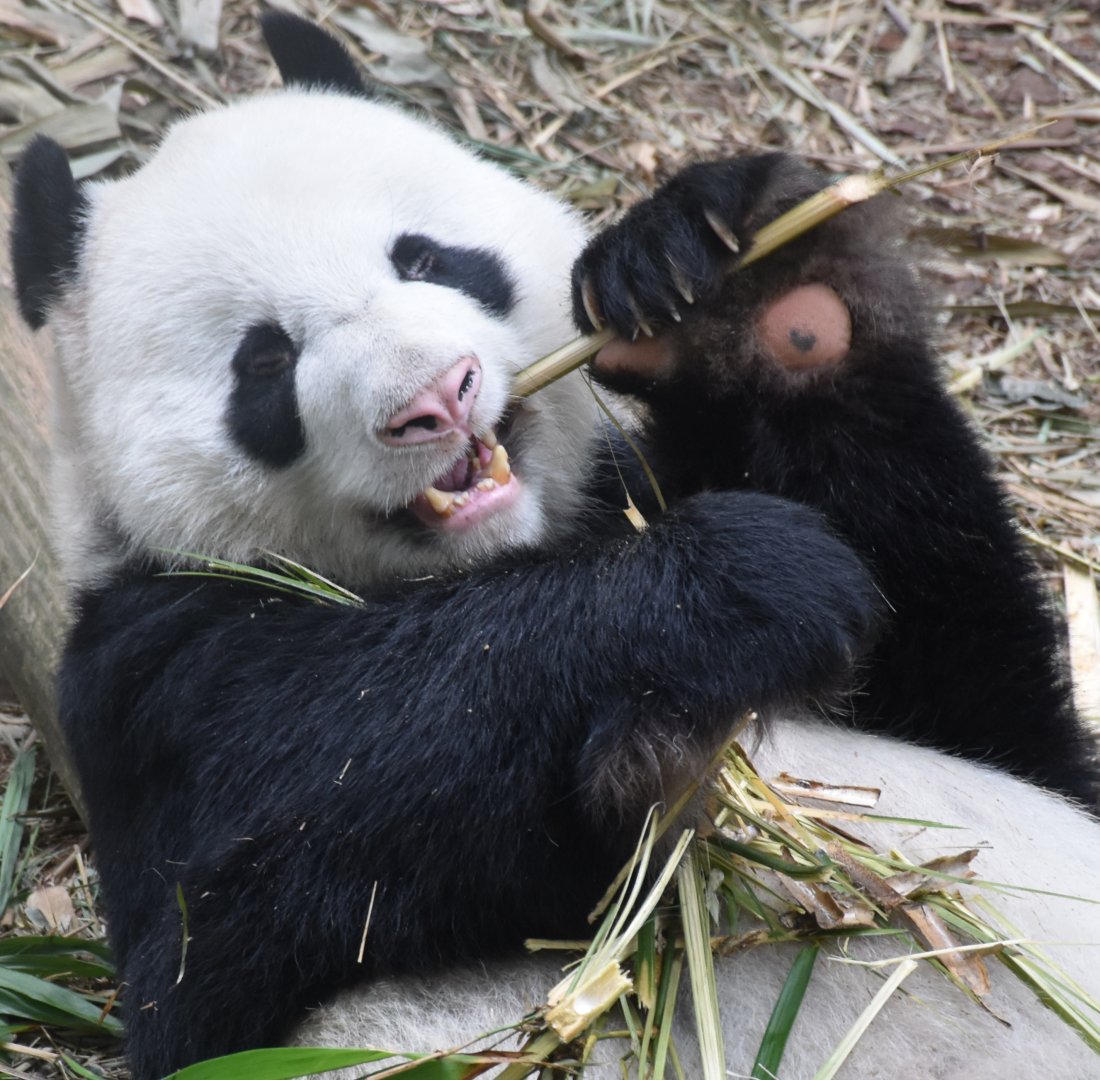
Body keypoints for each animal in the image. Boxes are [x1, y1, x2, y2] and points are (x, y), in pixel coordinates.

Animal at [10, 12, 1100, 1079]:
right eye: (265, 361)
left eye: (426, 259)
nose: (435, 397)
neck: (511, 550)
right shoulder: (154, 678)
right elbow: (254, 888)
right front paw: (723, 598)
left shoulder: (640, 490)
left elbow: (987, 696)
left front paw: (741, 284)